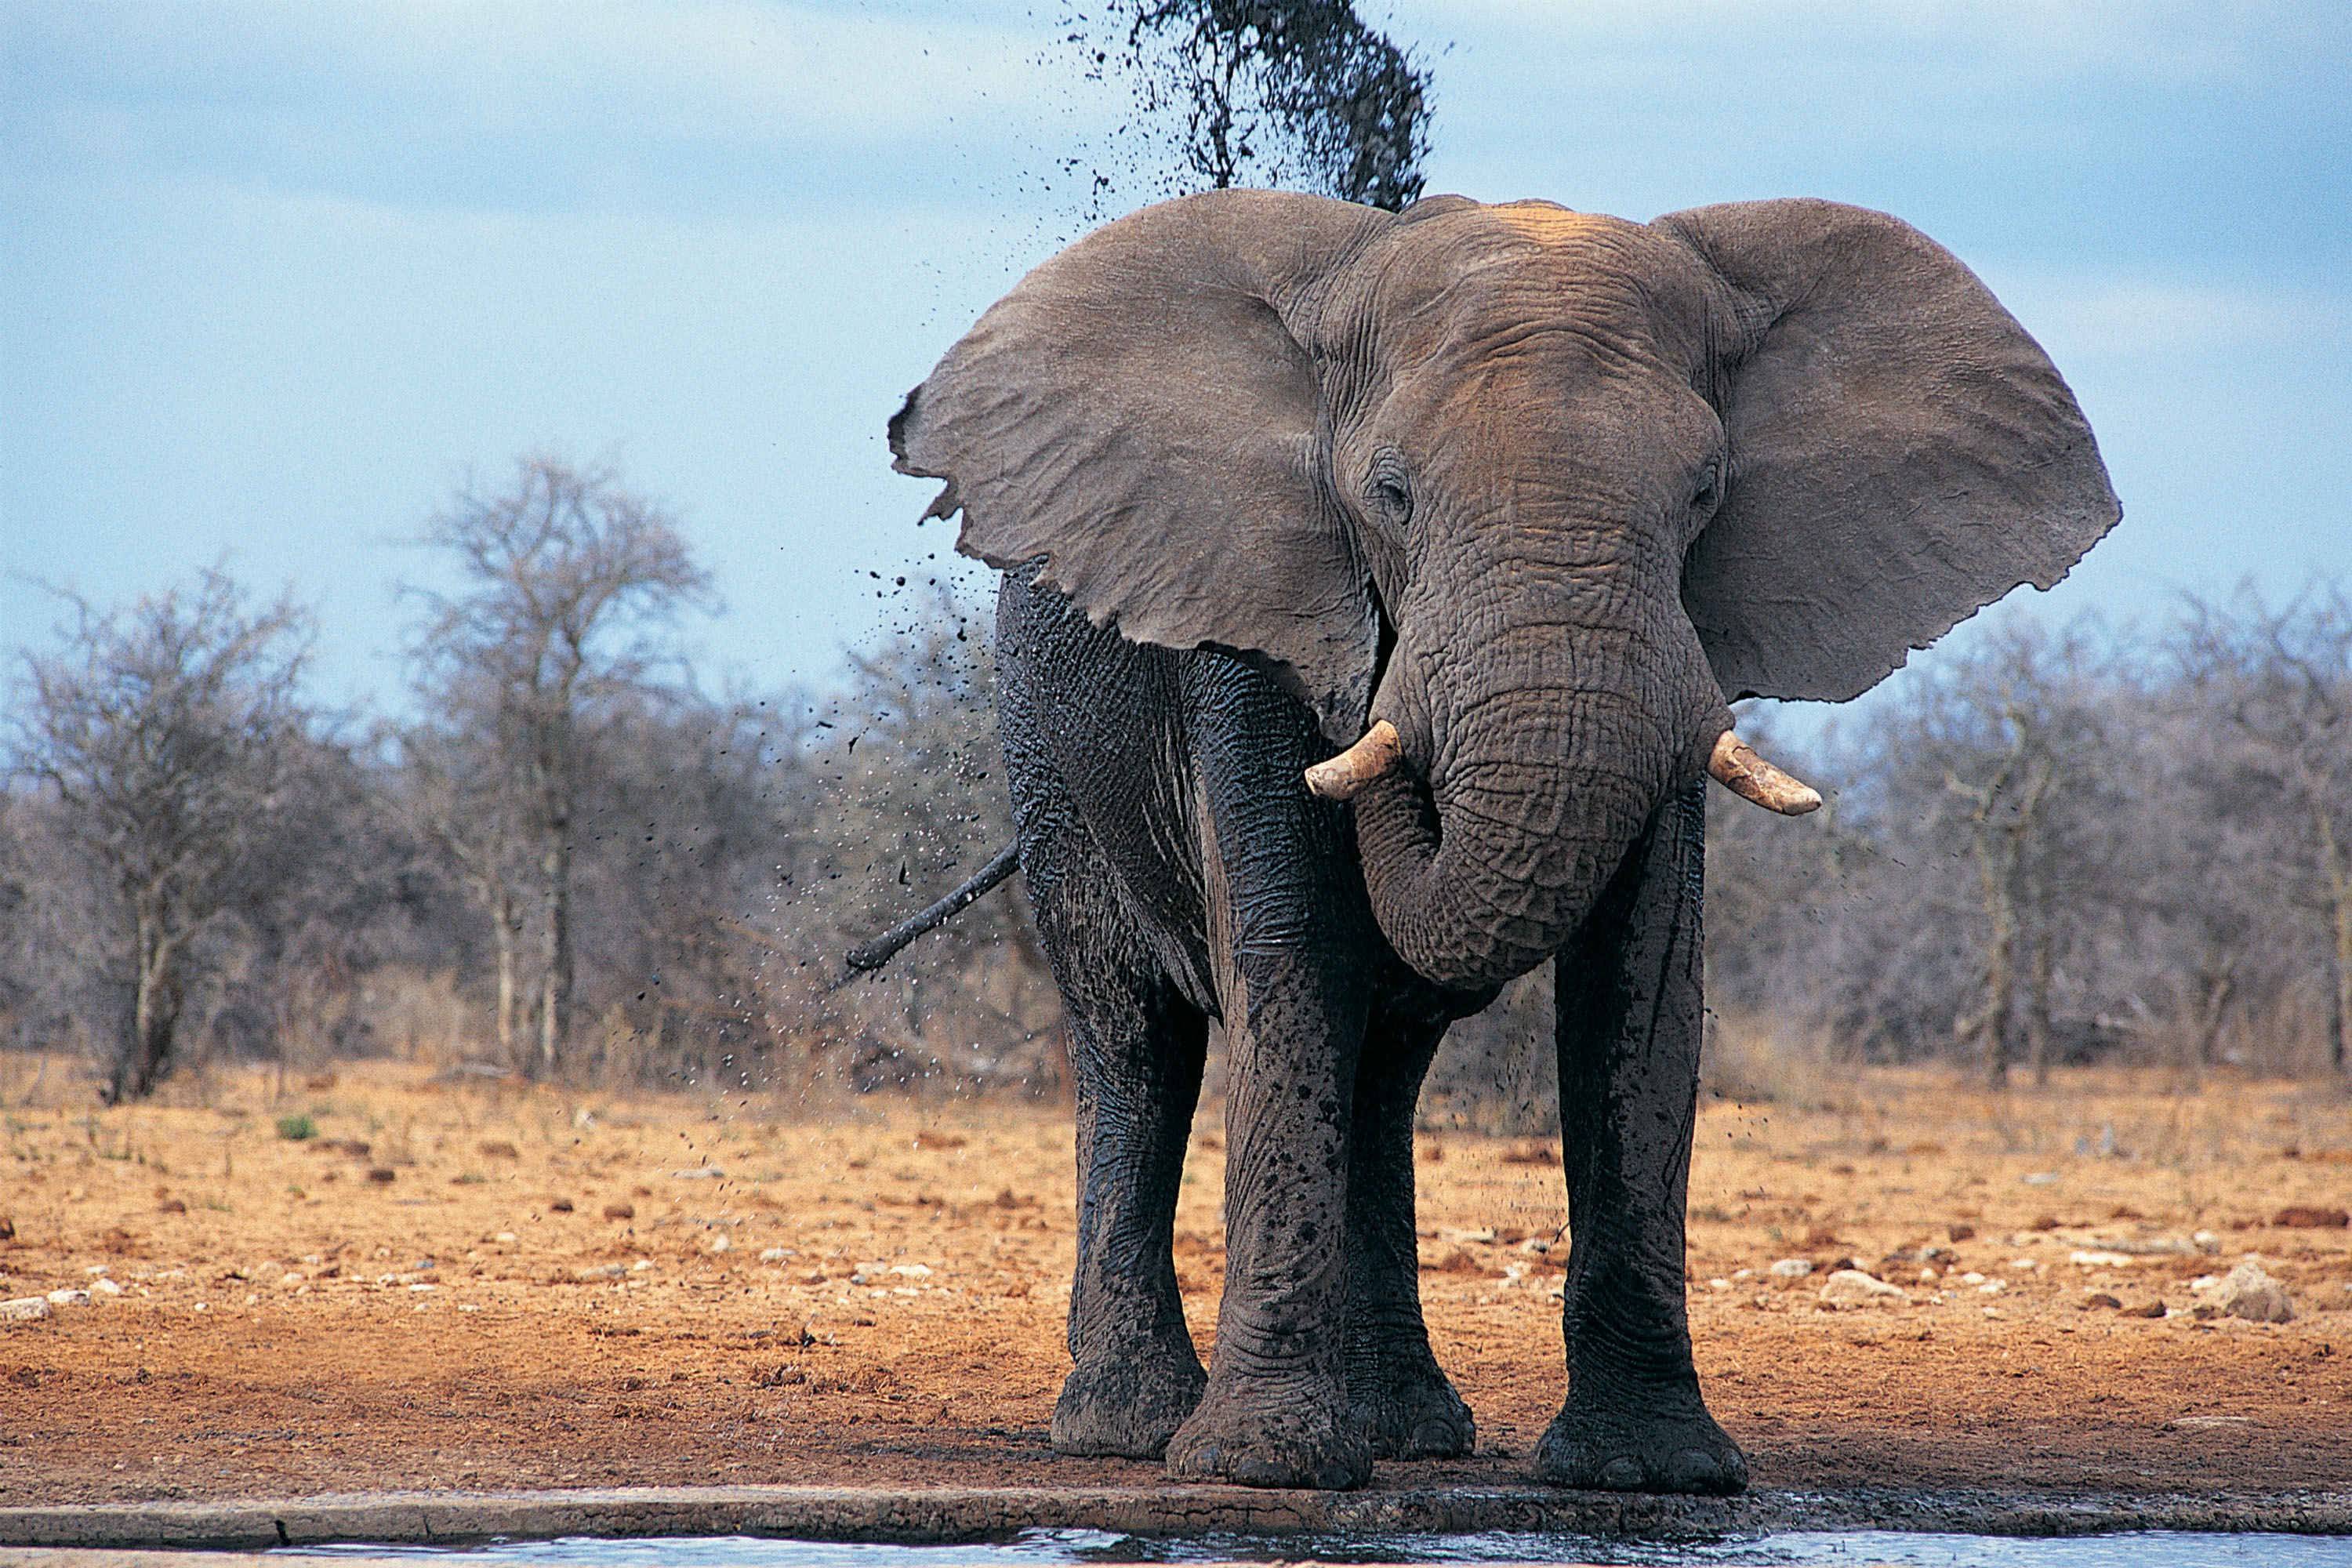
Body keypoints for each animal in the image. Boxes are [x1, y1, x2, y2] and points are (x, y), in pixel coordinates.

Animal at [883, 189, 2118, 1493]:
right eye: (1388, 494)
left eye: (1703, 494)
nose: (1382, 687)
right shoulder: (1248, 636)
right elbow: (1291, 957)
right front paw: (1265, 1467)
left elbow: (1642, 982)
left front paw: (1652, 1472)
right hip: (1048, 762)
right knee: (1138, 1048)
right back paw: (1129, 1430)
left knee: (1383, 1071)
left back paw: (1412, 1432)